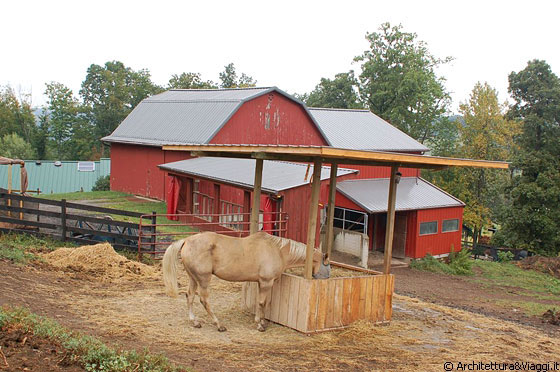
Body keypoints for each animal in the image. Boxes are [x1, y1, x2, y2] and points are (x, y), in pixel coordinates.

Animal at [162, 232, 328, 332]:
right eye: (327, 265)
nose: (324, 280)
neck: (277, 250)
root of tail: (187, 240)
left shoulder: (261, 283)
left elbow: (261, 302)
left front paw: (261, 320)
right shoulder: (266, 282)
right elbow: (261, 303)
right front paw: (260, 325)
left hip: (193, 278)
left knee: (189, 296)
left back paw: (195, 322)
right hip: (203, 279)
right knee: (204, 300)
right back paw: (219, 324)